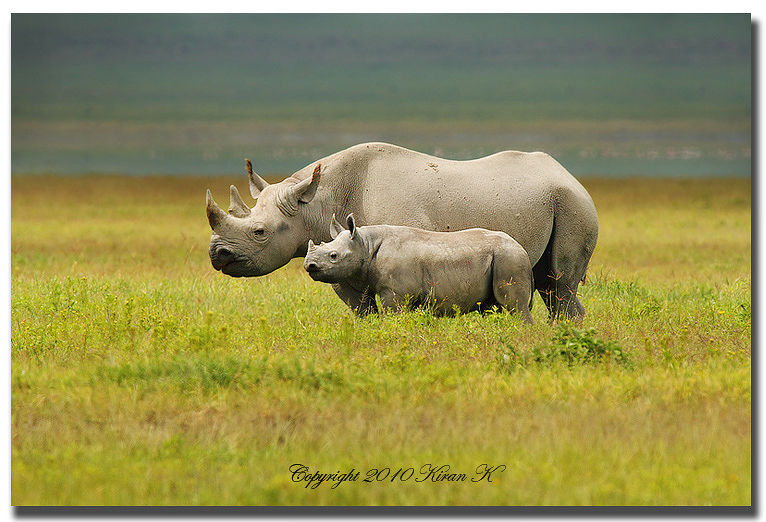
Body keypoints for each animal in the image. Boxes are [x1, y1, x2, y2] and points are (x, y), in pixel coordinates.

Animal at [304, 214, 535, 323]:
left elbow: (392, 316)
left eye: (333, 256)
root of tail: (521, 248)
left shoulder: (394, 292)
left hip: (509, 258)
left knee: (516, 306)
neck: (365, 243)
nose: (309, 265)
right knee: (491, 308)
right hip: (501, 257)